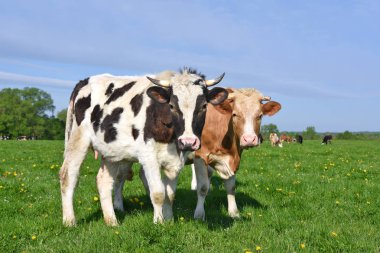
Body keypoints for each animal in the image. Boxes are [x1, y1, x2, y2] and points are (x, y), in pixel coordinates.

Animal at [190, 88, 282, 218]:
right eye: (234, 114)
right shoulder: (200, 155)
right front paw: (199, 214)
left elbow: (231, 187)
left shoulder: (231, 159)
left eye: (260, 116)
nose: (249, 139)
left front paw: (234, 212)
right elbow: (203, 187)